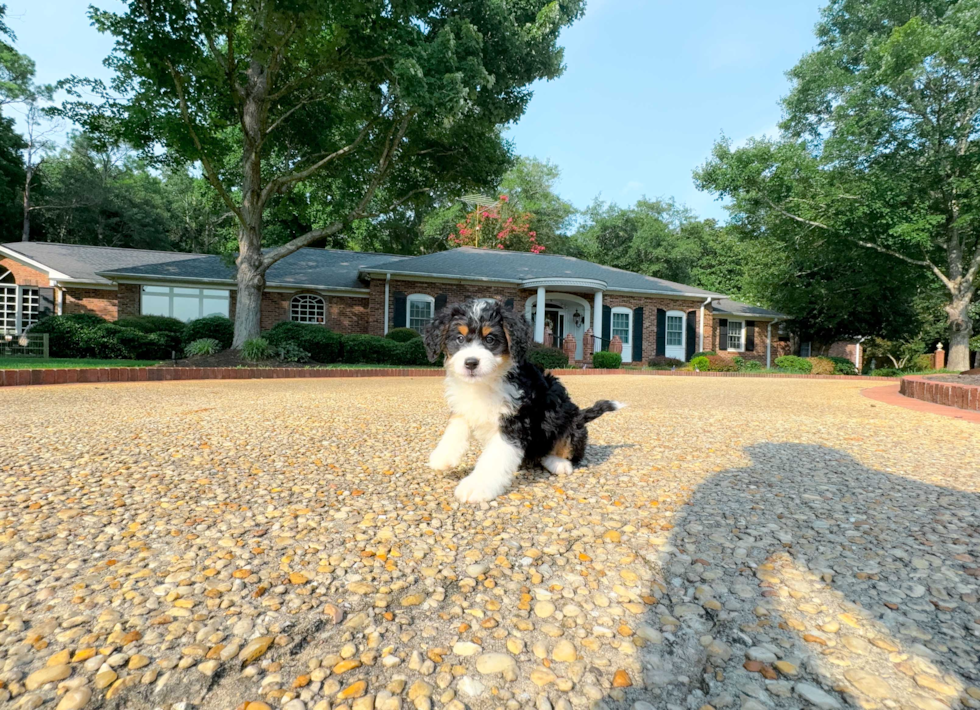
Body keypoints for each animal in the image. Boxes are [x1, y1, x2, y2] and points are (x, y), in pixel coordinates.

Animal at [422, 298, 620, 504]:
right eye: (459, 339)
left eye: (490, 339)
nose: (470, 363)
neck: (487, 382)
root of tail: (580, 416)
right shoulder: (464, 405)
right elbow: (455, 427)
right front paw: (442, 456)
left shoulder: (514, 423)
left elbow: (493, 459)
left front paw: (476, 486)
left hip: (569, 424)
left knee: (567, 450)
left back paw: (559, 463)